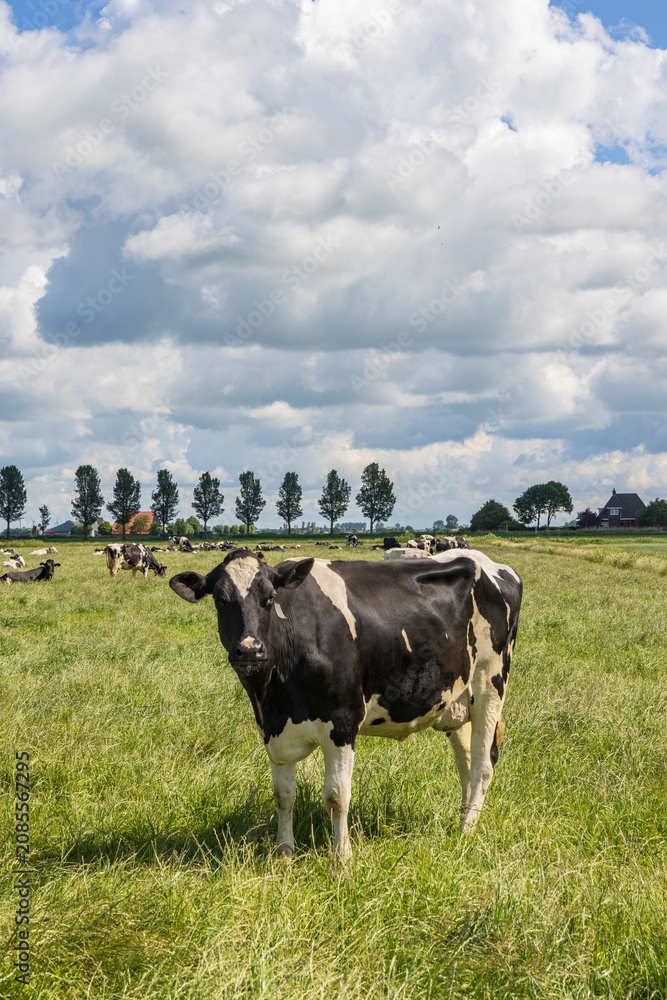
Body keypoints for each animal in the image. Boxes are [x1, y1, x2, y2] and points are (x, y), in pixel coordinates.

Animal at [169, 546, 522, 861]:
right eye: (219, 600)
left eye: (268, 598)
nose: (250, 649)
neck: (272, 694)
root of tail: (490, 562)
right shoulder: (274, 729)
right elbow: (283, 796)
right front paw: (284, 853)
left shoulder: (342, 721)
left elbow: (337, 796)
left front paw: (342, 858)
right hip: (455, 698)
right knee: (466, 762)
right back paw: (462, 817)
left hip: (491, 684)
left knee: (483, 763)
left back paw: (466, 830)